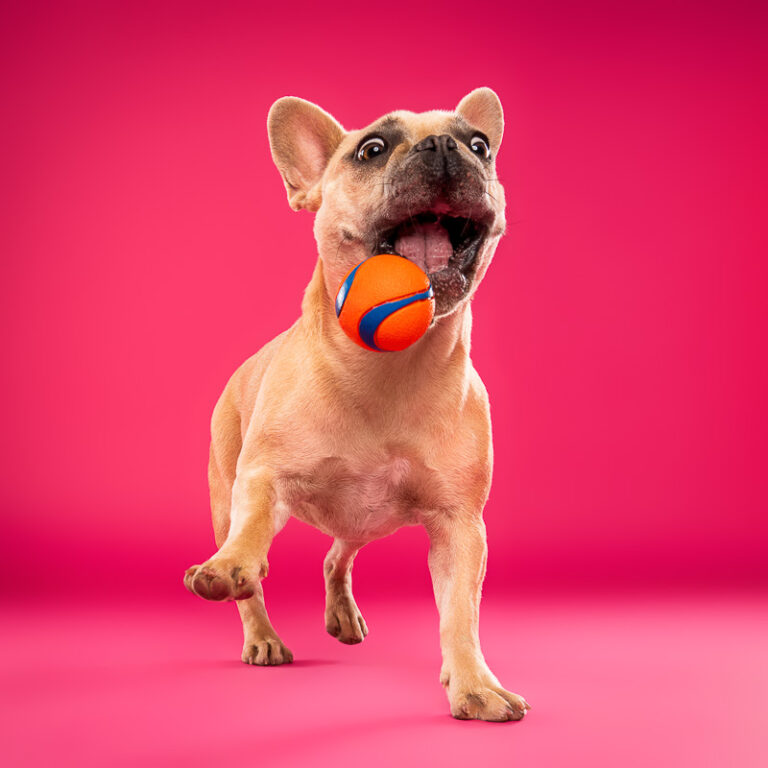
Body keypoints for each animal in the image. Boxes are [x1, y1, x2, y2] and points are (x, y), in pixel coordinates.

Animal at [185, 88, 532, 720]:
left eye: (479, 146)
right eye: (371, 149)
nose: (443, 145)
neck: (391, 366)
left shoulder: (461, 526)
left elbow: (459, 613)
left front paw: (475, 683)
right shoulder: (263, 476)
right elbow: (252, 533)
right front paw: (230, 565)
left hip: (368, 516)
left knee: (336, 557)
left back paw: (341, 613)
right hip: (227, 490)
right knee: (254, 579)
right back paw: (261, 635)